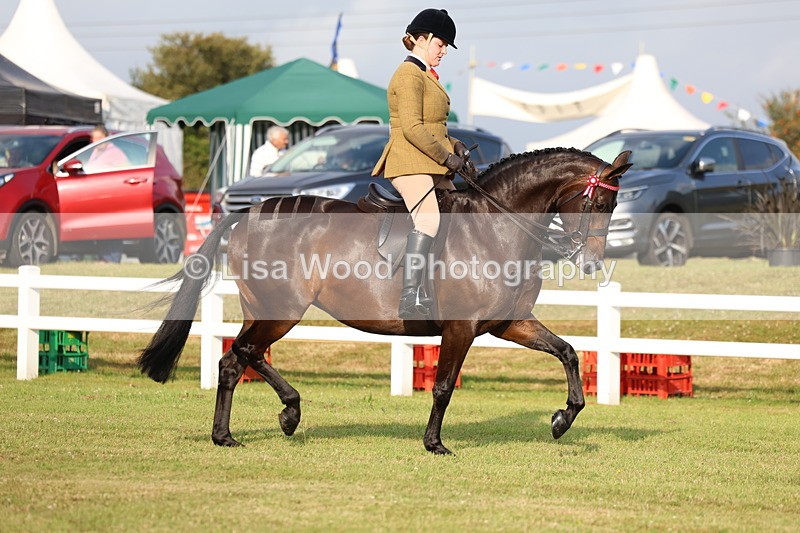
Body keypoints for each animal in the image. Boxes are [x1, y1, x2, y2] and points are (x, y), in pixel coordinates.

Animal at [138, 147, 632, 455]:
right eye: (597, 205)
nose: (590, 262)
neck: (495, 227)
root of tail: (246, 214)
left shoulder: (510, 323)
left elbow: (568, 352)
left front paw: (562, 419)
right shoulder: (460, 329)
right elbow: (443, 386)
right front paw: (435, 443)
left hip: (264, 309)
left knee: (236, 360)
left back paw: (235, 432)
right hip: (282, 309)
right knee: (245, 352)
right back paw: (282, 414)